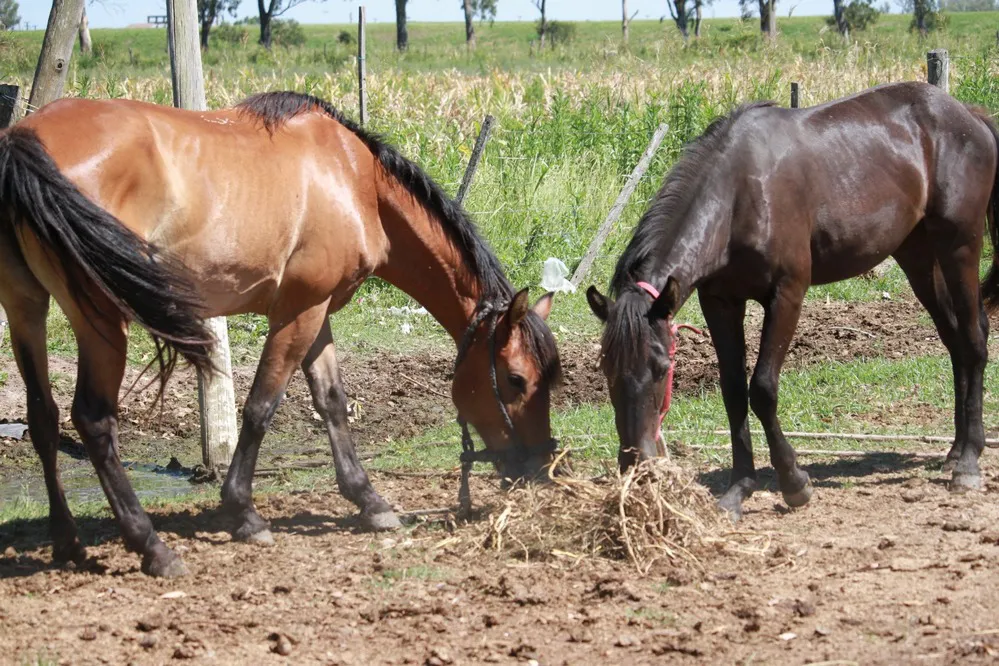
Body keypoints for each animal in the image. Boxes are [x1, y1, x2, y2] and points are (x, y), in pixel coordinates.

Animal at [0, 91, 561, 577]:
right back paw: (152, 547)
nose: (538, 466)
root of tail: (19, 141)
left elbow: (333, 403)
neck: (355, 179)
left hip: (25, 306)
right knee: (93, 421)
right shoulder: (297, 312)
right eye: (516, 379)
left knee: (44, 418)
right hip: (99, 319)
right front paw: (244, 513)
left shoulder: (318, 312)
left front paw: (369, 501)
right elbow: (260, 408)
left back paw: (68, 542)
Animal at [587, 81, 998, 521]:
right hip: (917, 254)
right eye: (606, 367)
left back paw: (968, 462)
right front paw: (739, 488)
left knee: (974, 340)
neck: (739, 196)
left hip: (960, 245)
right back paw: (955, 451)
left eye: (663, 368)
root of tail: (969, 114)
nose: (634, 464)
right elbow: (733, 392)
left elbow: (763, 389)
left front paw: (794, 483)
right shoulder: (720, 302)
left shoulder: (787, 295)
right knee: (956, 339)